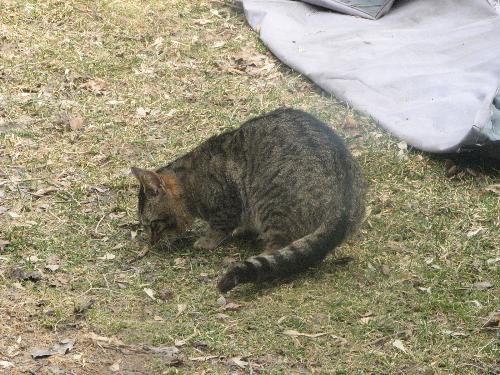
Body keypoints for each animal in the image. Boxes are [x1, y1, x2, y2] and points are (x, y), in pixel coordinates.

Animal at [132, 108, 368, 294]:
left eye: (153, 224)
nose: (151, 242)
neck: (190, 181)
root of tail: (342, 205)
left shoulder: (226, 205)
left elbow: (219, 228)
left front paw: (206, 241)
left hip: (270, 203)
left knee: (277, 248)